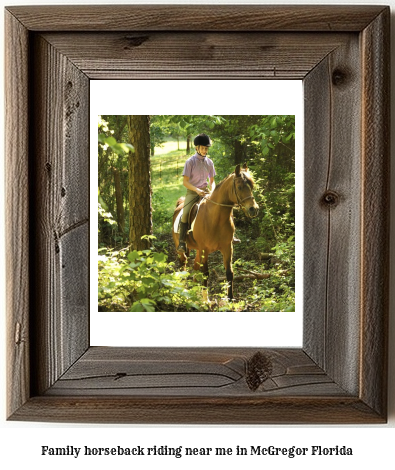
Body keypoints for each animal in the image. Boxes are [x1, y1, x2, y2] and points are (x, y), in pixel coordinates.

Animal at [172, 163, 260, 300]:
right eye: (239, 187)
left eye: (252, 186)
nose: (253, 209)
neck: (215, 218)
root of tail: (179, 205)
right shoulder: (204, 249)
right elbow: (205, 273)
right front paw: (206, 300)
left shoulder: (227, 247)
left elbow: (229, 273)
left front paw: (230, 299)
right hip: (182, 247)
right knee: (183, 264)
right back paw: (184, 289)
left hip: (198, 250)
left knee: (195, 265)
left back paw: (194, 289)